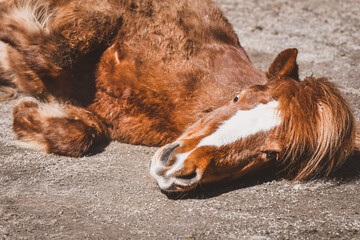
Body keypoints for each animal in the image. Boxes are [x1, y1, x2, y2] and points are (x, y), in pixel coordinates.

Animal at [0, 0, 358, 191]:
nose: (175, 166)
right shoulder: (99, 12)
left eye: (271, 155)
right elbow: (51, 52)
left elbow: (81, 132)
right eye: (237, 98)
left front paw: (28, 115)